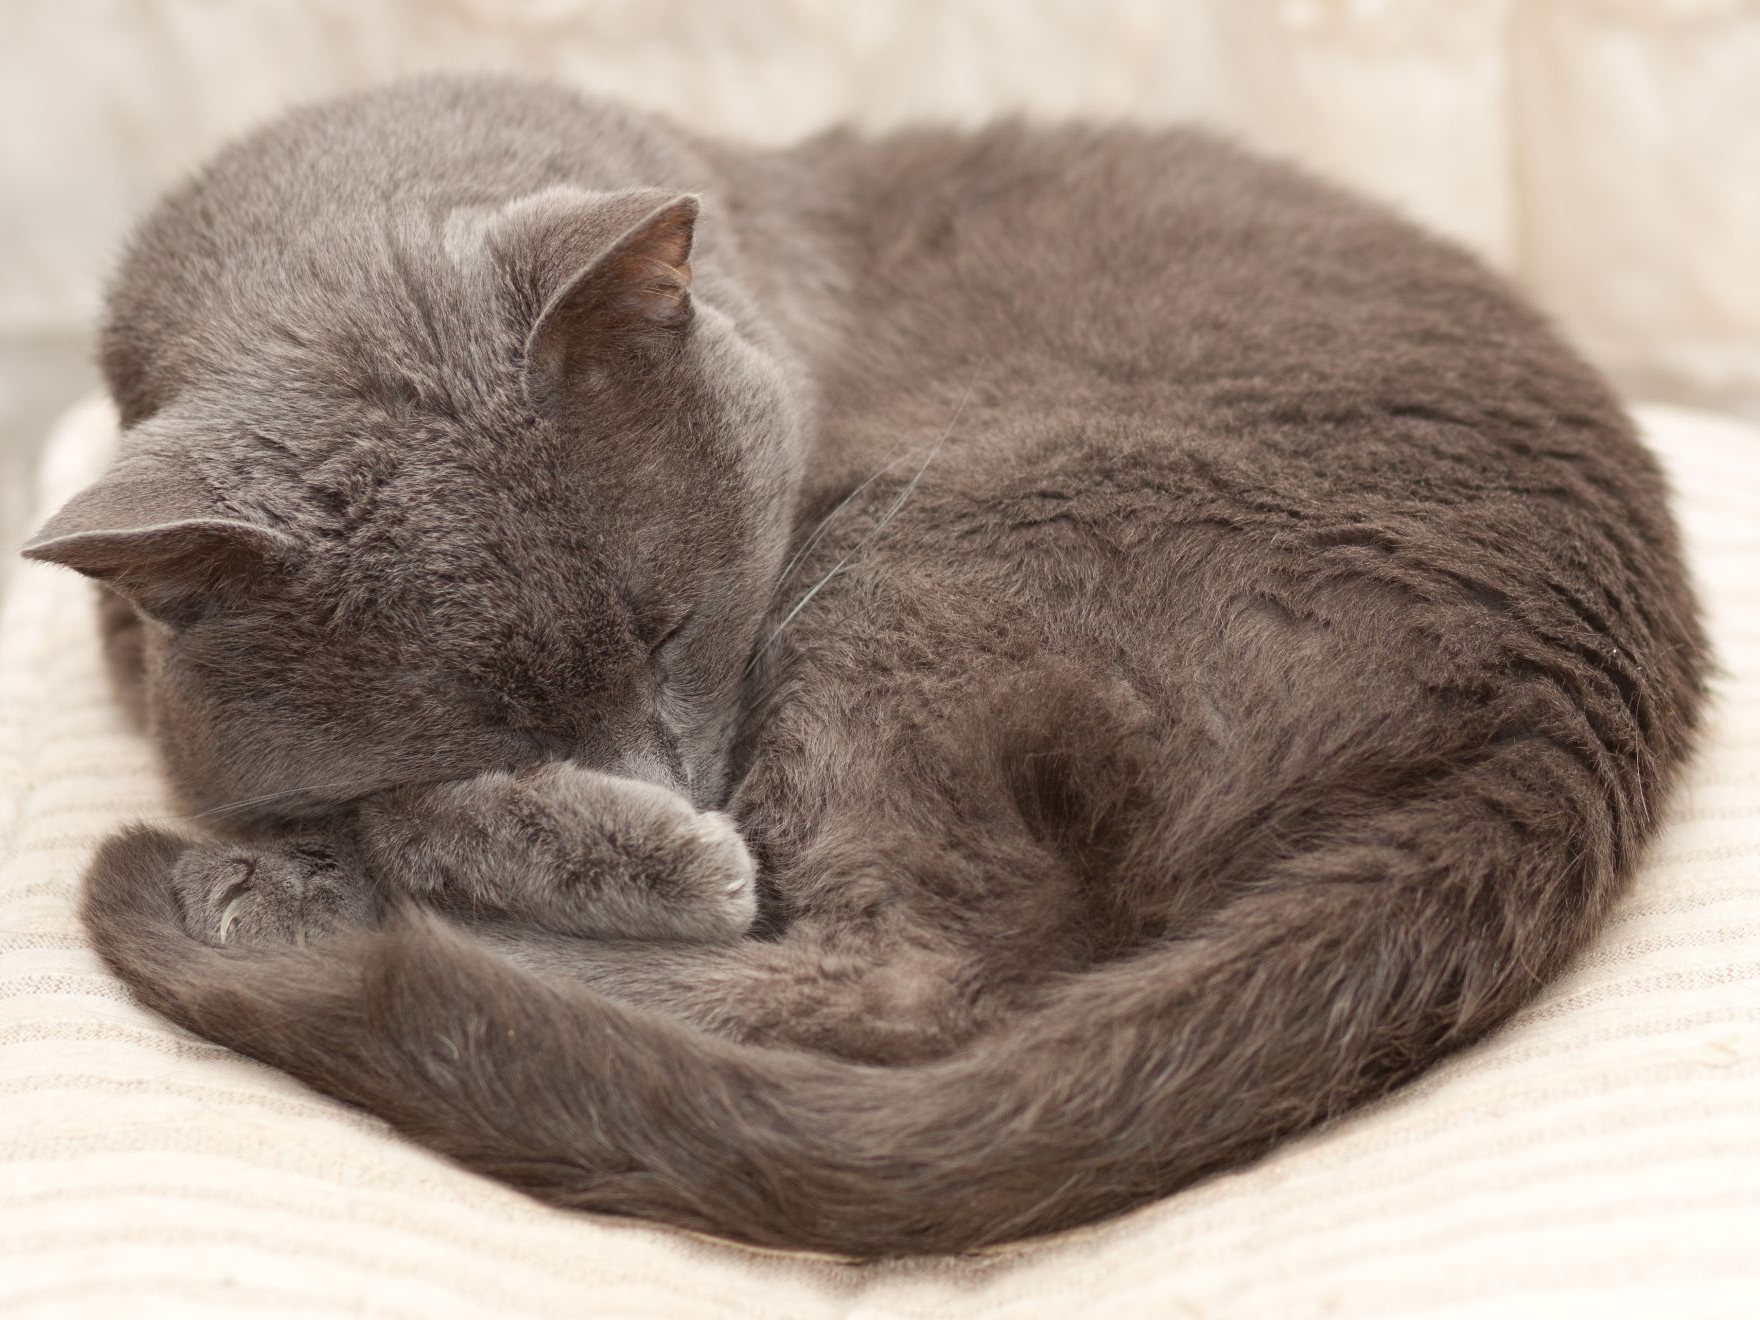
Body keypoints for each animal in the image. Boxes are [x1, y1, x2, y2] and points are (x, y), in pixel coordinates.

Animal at [24, 80, 1703, 1260]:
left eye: (668, 624)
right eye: (492, 719)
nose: (675, 792)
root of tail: (1573, 723)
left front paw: (335, 859)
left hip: (938, 553)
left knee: (911, 985)